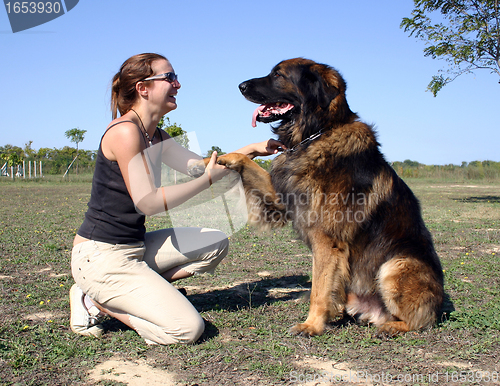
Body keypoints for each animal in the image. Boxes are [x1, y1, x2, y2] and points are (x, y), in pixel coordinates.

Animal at [217, 58, 444, 338]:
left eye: (278, 75)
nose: (241, 86)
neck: (317, 134)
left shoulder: (327, 241)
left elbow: (319, 289)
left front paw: (312, 325)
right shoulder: (281, 198)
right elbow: (247, 161)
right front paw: (217, 159)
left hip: (396, 265)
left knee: (419, 320)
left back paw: (391, 326)